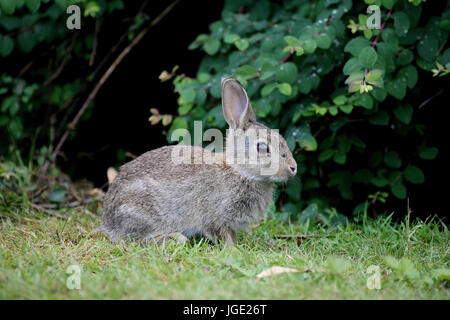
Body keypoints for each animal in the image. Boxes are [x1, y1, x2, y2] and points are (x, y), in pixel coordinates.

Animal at [97, 77, 298, 245]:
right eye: (263, 148)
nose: (293, 168)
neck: (239, 171)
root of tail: (107, 221)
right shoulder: (214, 217)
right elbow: (222, 235)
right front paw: (234, 250)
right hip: (140, 212)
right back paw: (174, 238)